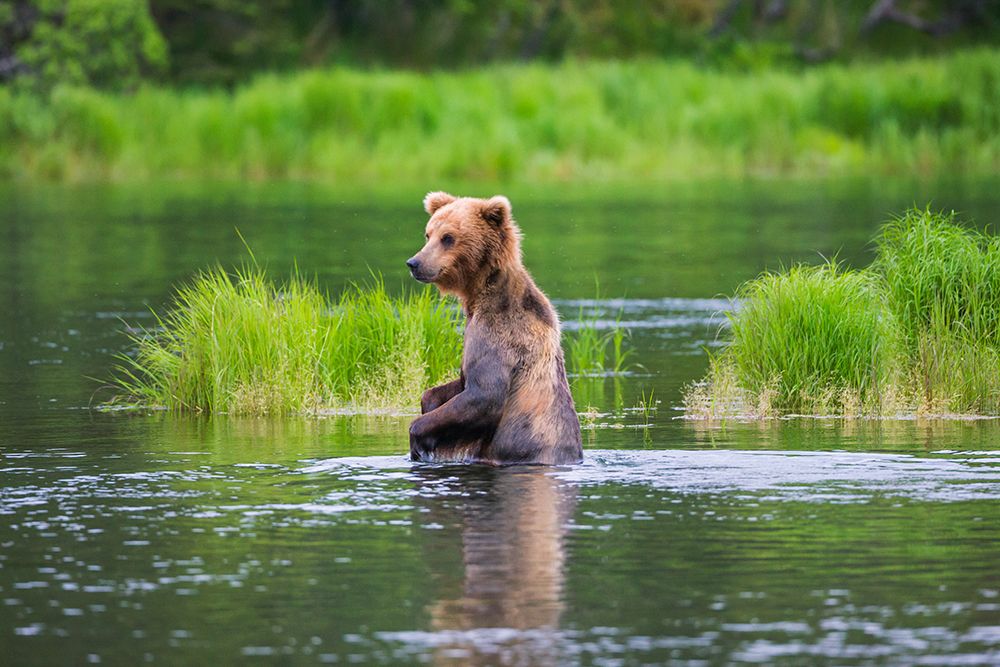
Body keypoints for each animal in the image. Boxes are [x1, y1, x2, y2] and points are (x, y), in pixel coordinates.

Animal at [406, 192, 583, 466]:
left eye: (448, 237)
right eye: (428, 234)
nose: (415, 263)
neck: (479, 293)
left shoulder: (499, 335)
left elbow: (485, 395)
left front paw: (420, 439)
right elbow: (452, 387)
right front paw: (430, 403)